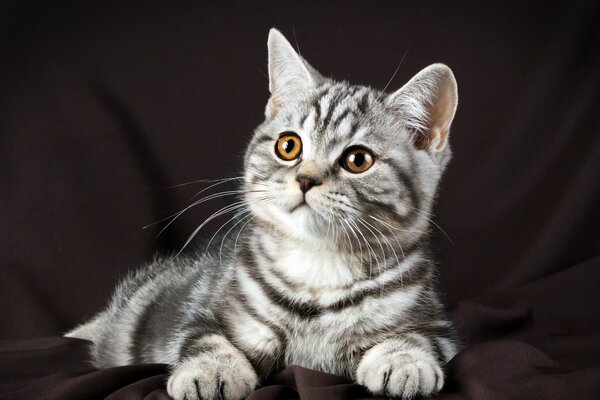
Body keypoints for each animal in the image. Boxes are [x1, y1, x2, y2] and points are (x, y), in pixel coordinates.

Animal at [65, 28, 460, 400]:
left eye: (358, 159)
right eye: (288, 146)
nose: (305, 179)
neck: (317, 268)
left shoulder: (436, 325)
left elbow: (418, 339)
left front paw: (405, 361)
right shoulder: (202, 311)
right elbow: (204, 338)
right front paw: (210, 370)